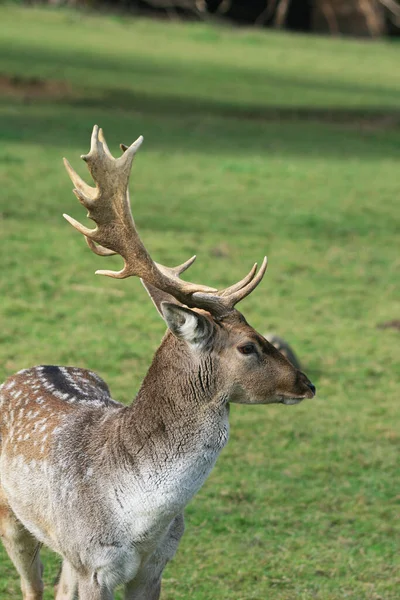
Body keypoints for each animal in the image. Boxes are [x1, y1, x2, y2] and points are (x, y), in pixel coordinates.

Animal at [0, 124, 316, 596]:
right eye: (247, 346)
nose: (307, 383)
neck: (140, 520)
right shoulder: (93, 564)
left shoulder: (157, 564)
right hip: (15, 520)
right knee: (32, 586)